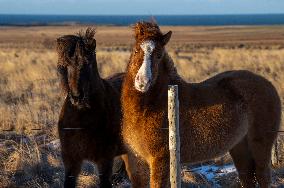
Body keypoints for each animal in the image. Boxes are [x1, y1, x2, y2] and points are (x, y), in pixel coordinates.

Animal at [122, 21, 282, 187]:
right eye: (136, 50)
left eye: (159, 55)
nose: (142, 82)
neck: (149, 108)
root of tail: (268, 84)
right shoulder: (137, 163)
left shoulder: (160, 161)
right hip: (239, 146)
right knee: (247, 177)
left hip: (260, 146)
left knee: (263, 175)